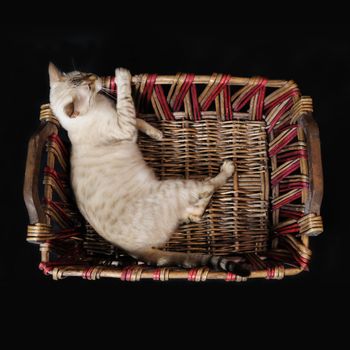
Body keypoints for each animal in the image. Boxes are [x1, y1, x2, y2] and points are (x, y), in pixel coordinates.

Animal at [49, 63, 250, 276]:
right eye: (87, 86)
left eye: (84, 74)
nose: (95, 77)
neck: (98, 105)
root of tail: (134, 250)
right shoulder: (124, 126)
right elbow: (126, 102)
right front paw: (122, 75)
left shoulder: (125, 120)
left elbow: (138, 119)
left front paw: (157, 134)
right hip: (176, 187)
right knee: (207, 188)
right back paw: (227, 169)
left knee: (195, 214)